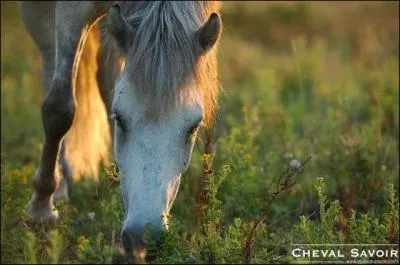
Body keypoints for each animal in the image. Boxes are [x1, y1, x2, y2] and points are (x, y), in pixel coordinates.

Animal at [19, 0, 222, 256]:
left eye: (194, 127)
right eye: (120, 119)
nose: (143, 237)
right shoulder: (71, 9)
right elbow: (59, 109)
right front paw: (41, 211)